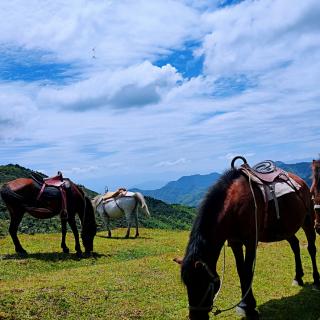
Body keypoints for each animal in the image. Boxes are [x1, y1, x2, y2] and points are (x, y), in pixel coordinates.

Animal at [176, 158, 318, 320]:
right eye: (187, 284)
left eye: (202, 283)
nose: (195, 316)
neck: (233, 207)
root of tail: (301, 182)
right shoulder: (235, 242)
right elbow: (240, 270)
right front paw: (244, 305)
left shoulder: (250, 242)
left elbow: (247, 271)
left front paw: (250, 307)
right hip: (286, 229)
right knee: (295, 245)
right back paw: (298, 277)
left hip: (308, 220)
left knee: (311, 248)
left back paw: (316, 280)